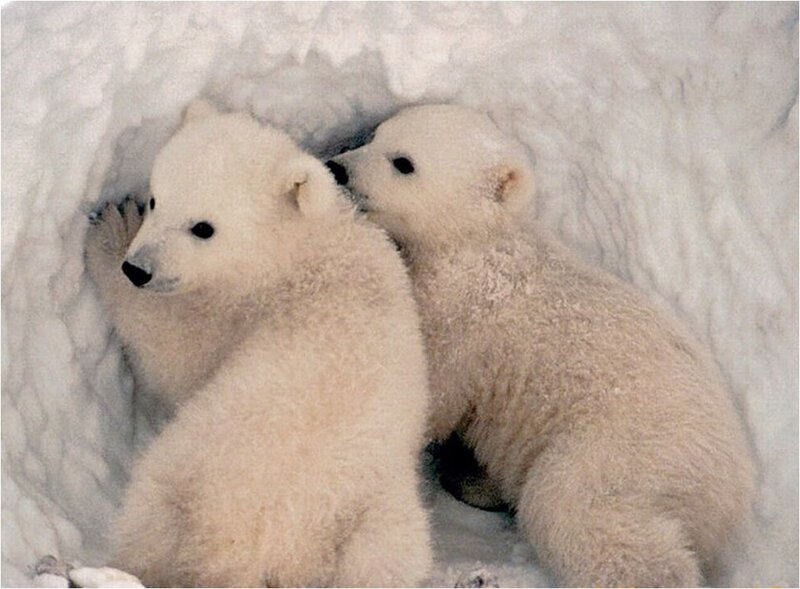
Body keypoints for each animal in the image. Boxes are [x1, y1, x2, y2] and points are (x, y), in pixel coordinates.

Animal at [85, 101, 433, 587]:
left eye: (203, 228)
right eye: (157, 198)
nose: (137, 268)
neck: (300, 251)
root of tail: (256, 554)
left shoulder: (235, 312)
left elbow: (173, 354)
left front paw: (111, 229)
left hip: (182, 472)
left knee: (145, 520)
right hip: (373, 532)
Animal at [327, 104, 756, 587]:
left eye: (404, 162)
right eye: (375, 135)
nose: (337, 167)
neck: (478, 243)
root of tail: (731, 488)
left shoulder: (463, 317)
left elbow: (431, 391)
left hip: (630, 447)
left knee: (574, 508)